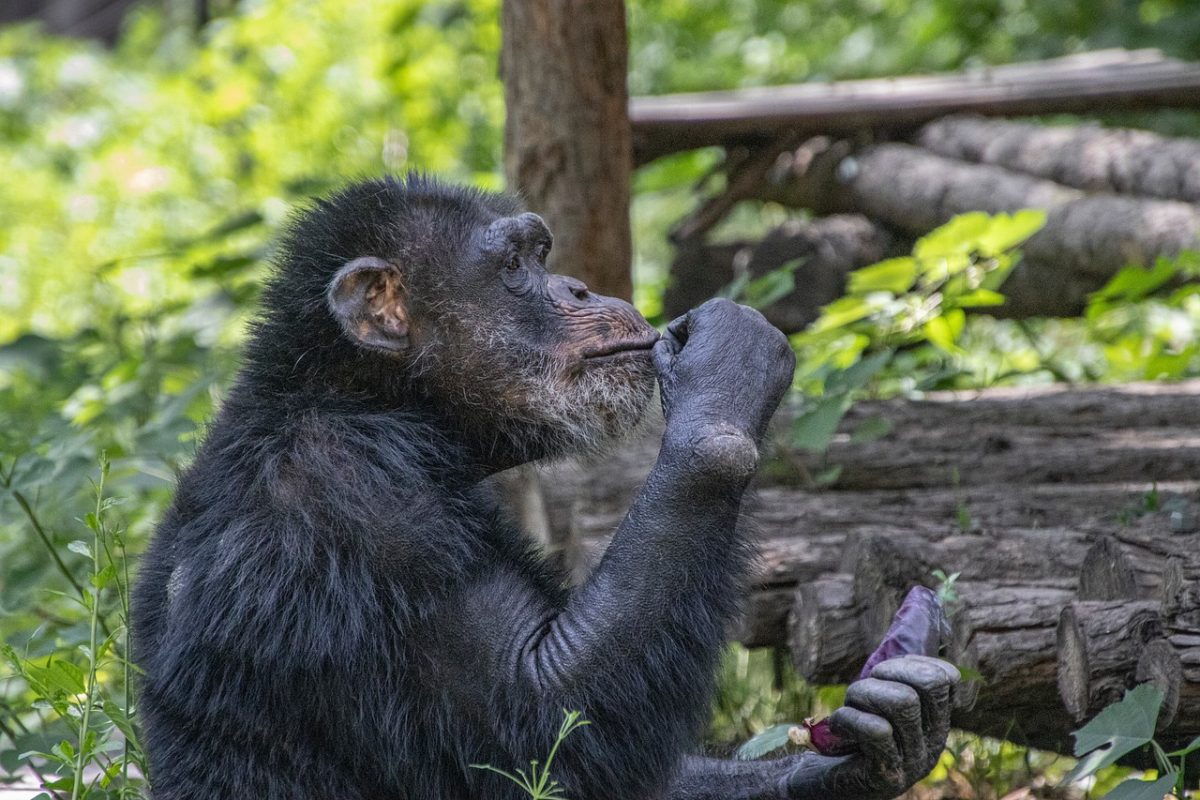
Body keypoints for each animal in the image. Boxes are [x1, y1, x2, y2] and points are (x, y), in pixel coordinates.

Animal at [131, 174, 957, 800]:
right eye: (516, 266)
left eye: (540, 252)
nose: (580, 285)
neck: (366, 402)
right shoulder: (357, 503)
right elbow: (543, 721)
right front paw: (726, 373)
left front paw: (849, 754)